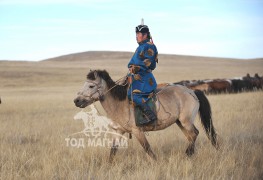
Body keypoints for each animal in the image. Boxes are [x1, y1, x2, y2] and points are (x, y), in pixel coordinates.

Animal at [73, 70, 220, 162]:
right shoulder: (118, 131)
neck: (119, 104)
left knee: (195, 133)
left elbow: (147, 148)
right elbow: (113, 151)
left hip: (186, 121)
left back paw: (187, 154)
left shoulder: (137, 131)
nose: (77, 101)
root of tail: (192, 92)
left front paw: (156, 162)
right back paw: (189, 154)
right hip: (180, 122)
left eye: (91, 86)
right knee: (191, 136)